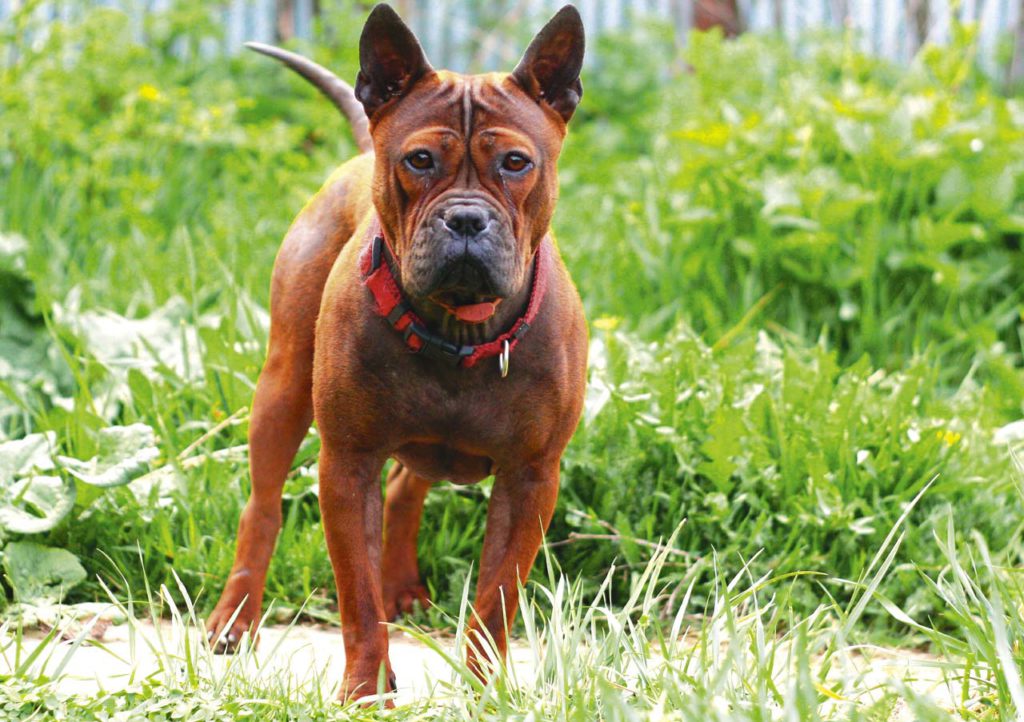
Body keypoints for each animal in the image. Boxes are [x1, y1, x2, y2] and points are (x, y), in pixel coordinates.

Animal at [204, 2, 589, 700]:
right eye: (419, 160)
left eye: (517, 163)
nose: (465, 220)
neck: (457, 328)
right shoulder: (347, 466)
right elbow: (357, 595)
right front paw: (365, 687)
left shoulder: (531, 479)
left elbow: (497, 598)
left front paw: (484, 688)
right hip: (282, 389)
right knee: (262, 507)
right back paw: (235, 617)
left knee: (410, 483)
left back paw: (402, 585)